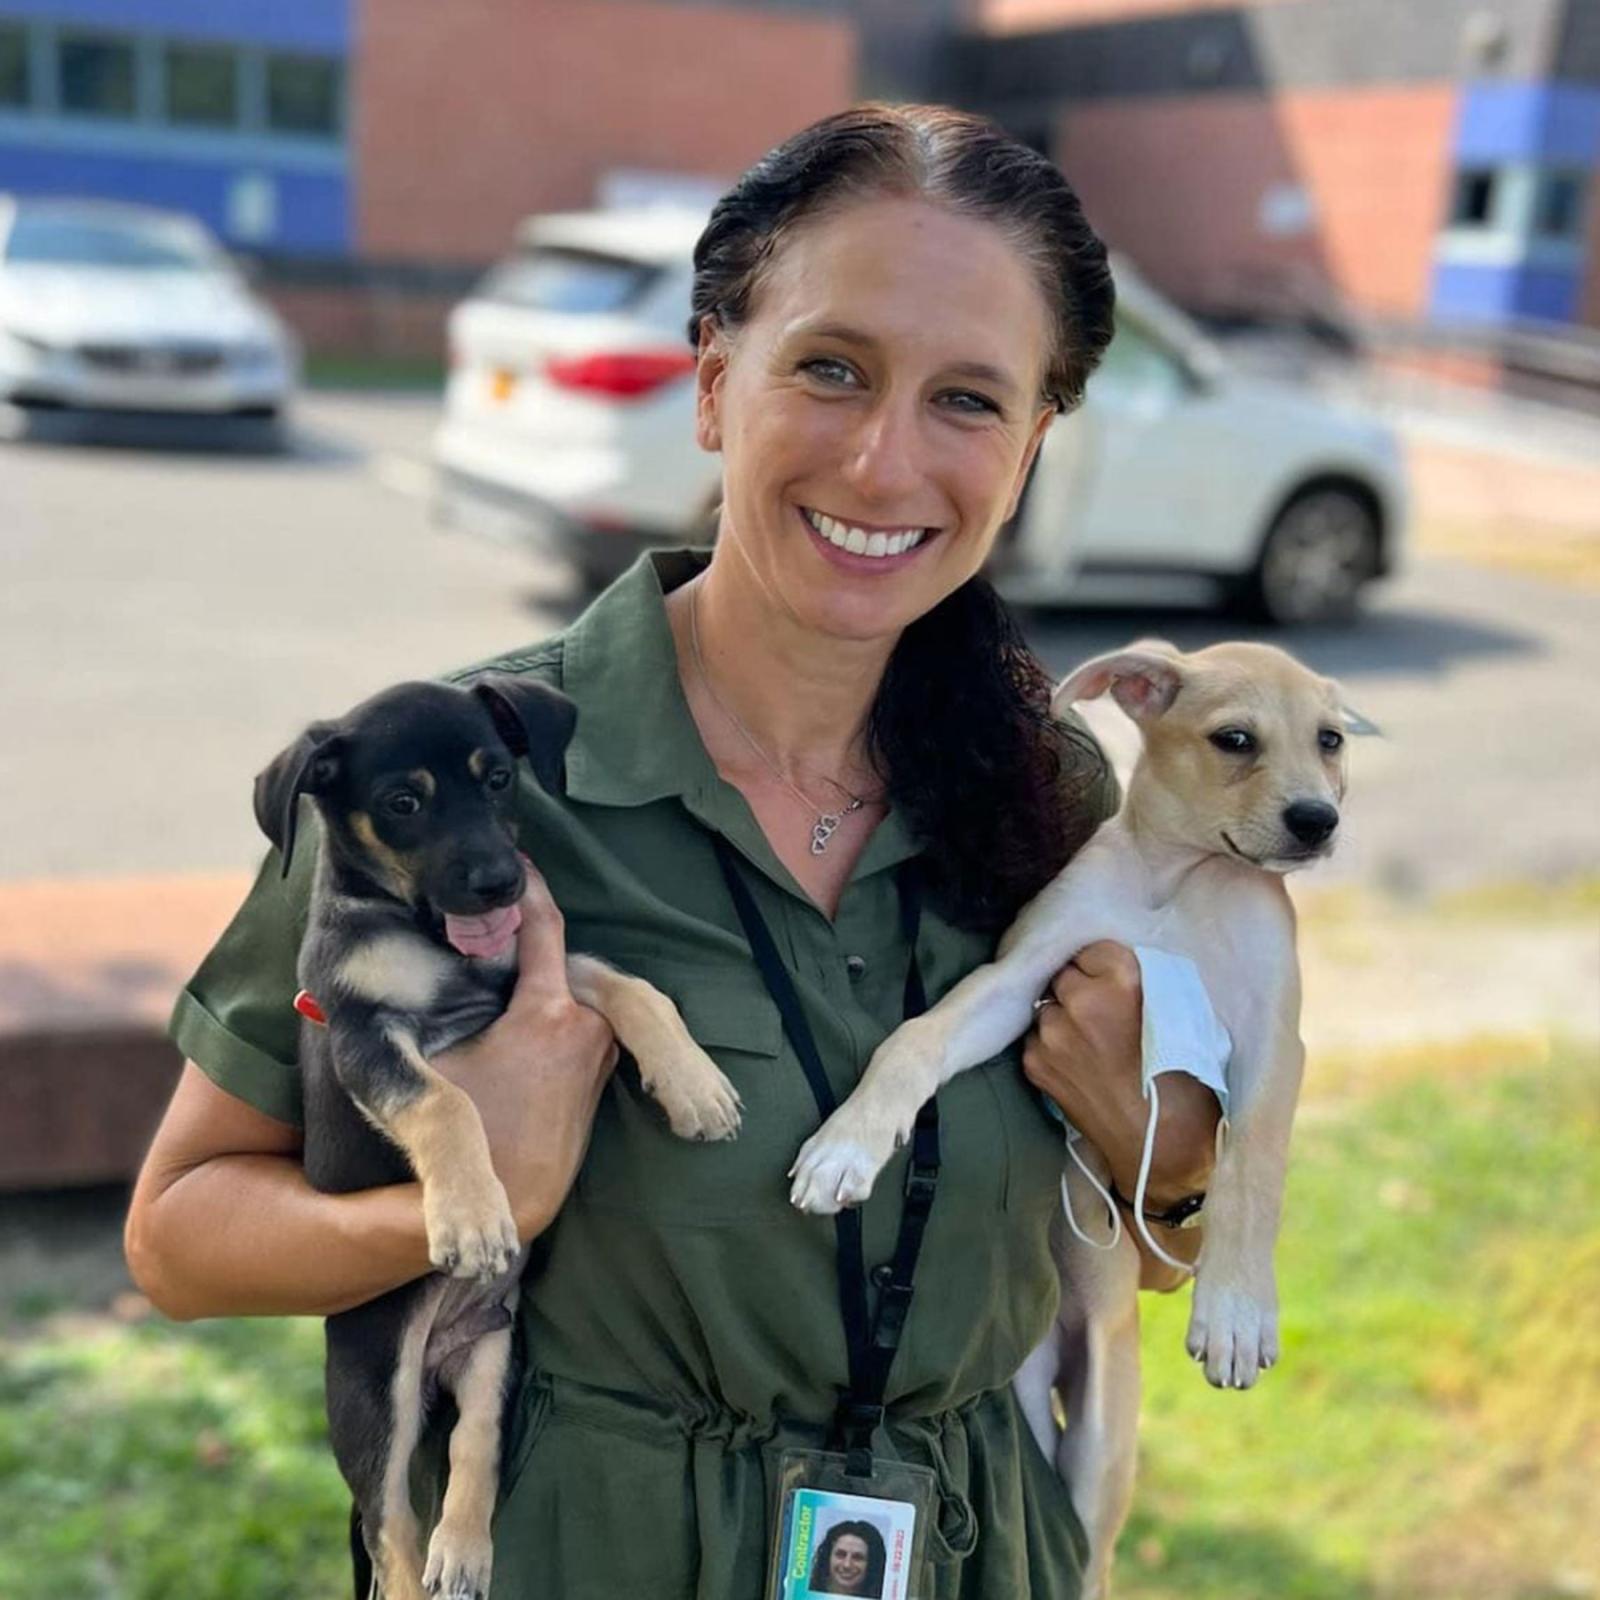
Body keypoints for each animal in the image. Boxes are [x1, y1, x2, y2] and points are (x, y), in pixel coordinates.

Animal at [257, 675, 742, 1600]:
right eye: (402, 803)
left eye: (497, 780)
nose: (499, 883)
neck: (432, 939)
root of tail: (441, 1354)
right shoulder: (364, 1034)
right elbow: (447, 1104)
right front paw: (474, 1216)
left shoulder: (533, 973)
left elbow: (631, 984)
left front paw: (694, 1084)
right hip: (378, 1382)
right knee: (388, 1528)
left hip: (495, 1352)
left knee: (470, 1446)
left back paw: (465, 1550)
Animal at [793, 640, 1356, 1600]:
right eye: (1234, 739)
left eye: (1330, 740)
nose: (1318, 820)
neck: (1178, 884)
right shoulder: (1018, 982)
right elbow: (913, 1040)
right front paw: (848, 1144)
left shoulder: (1272, 1042)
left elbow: (1251, 1173)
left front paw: (1236, 1311)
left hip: (1101, 1449)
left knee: (1093, 1561)